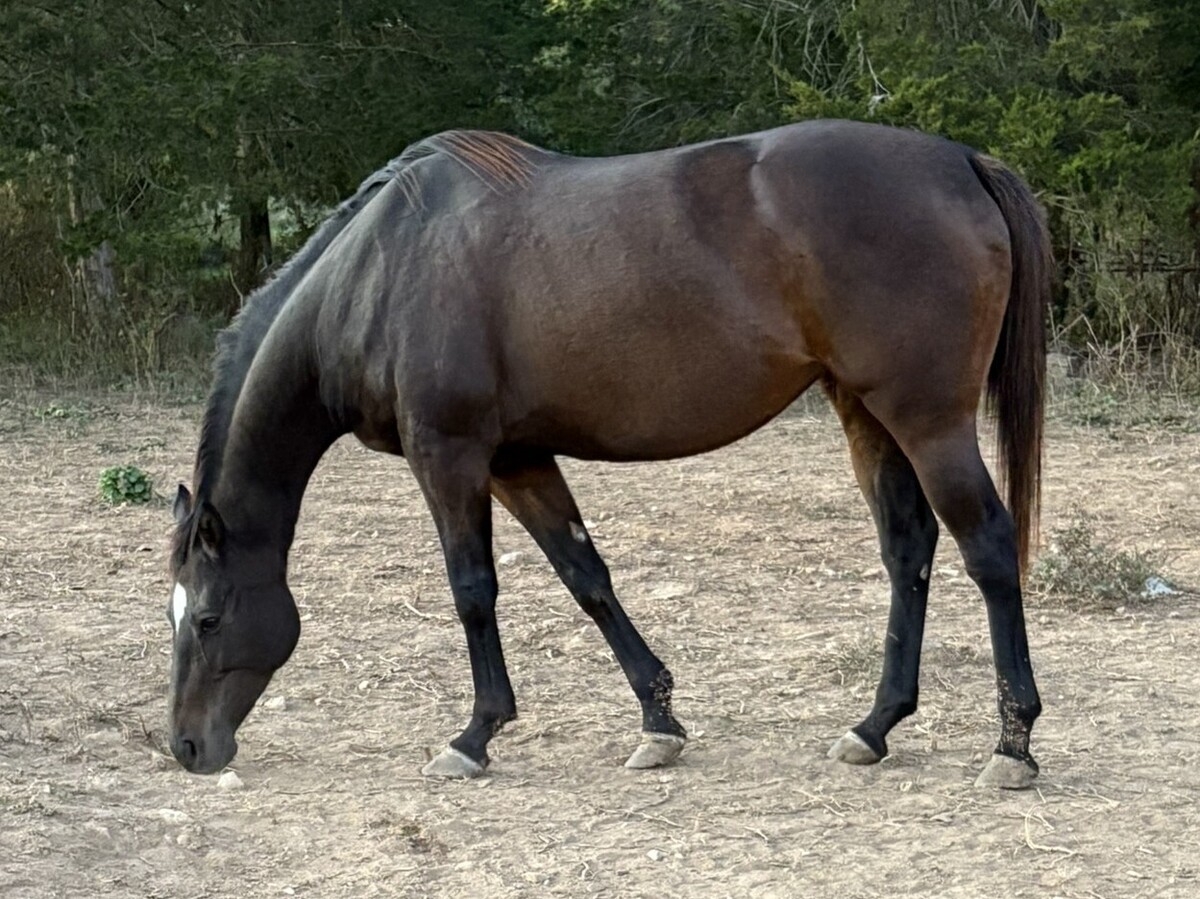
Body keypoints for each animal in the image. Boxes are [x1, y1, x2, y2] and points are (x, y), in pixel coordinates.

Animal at [167, 120, 1051, 789]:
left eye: (208, 617)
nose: (185, 747)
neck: (378, 270)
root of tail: (960, 162)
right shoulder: (518, 458)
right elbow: (586, 576)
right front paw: (658, 720)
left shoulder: (448, 456)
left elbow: (473, 591)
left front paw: (473, 736)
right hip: (865, 411)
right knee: (909, 549)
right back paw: (874, 726)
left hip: (927, 421)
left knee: (988, 547)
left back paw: (1012, 744)